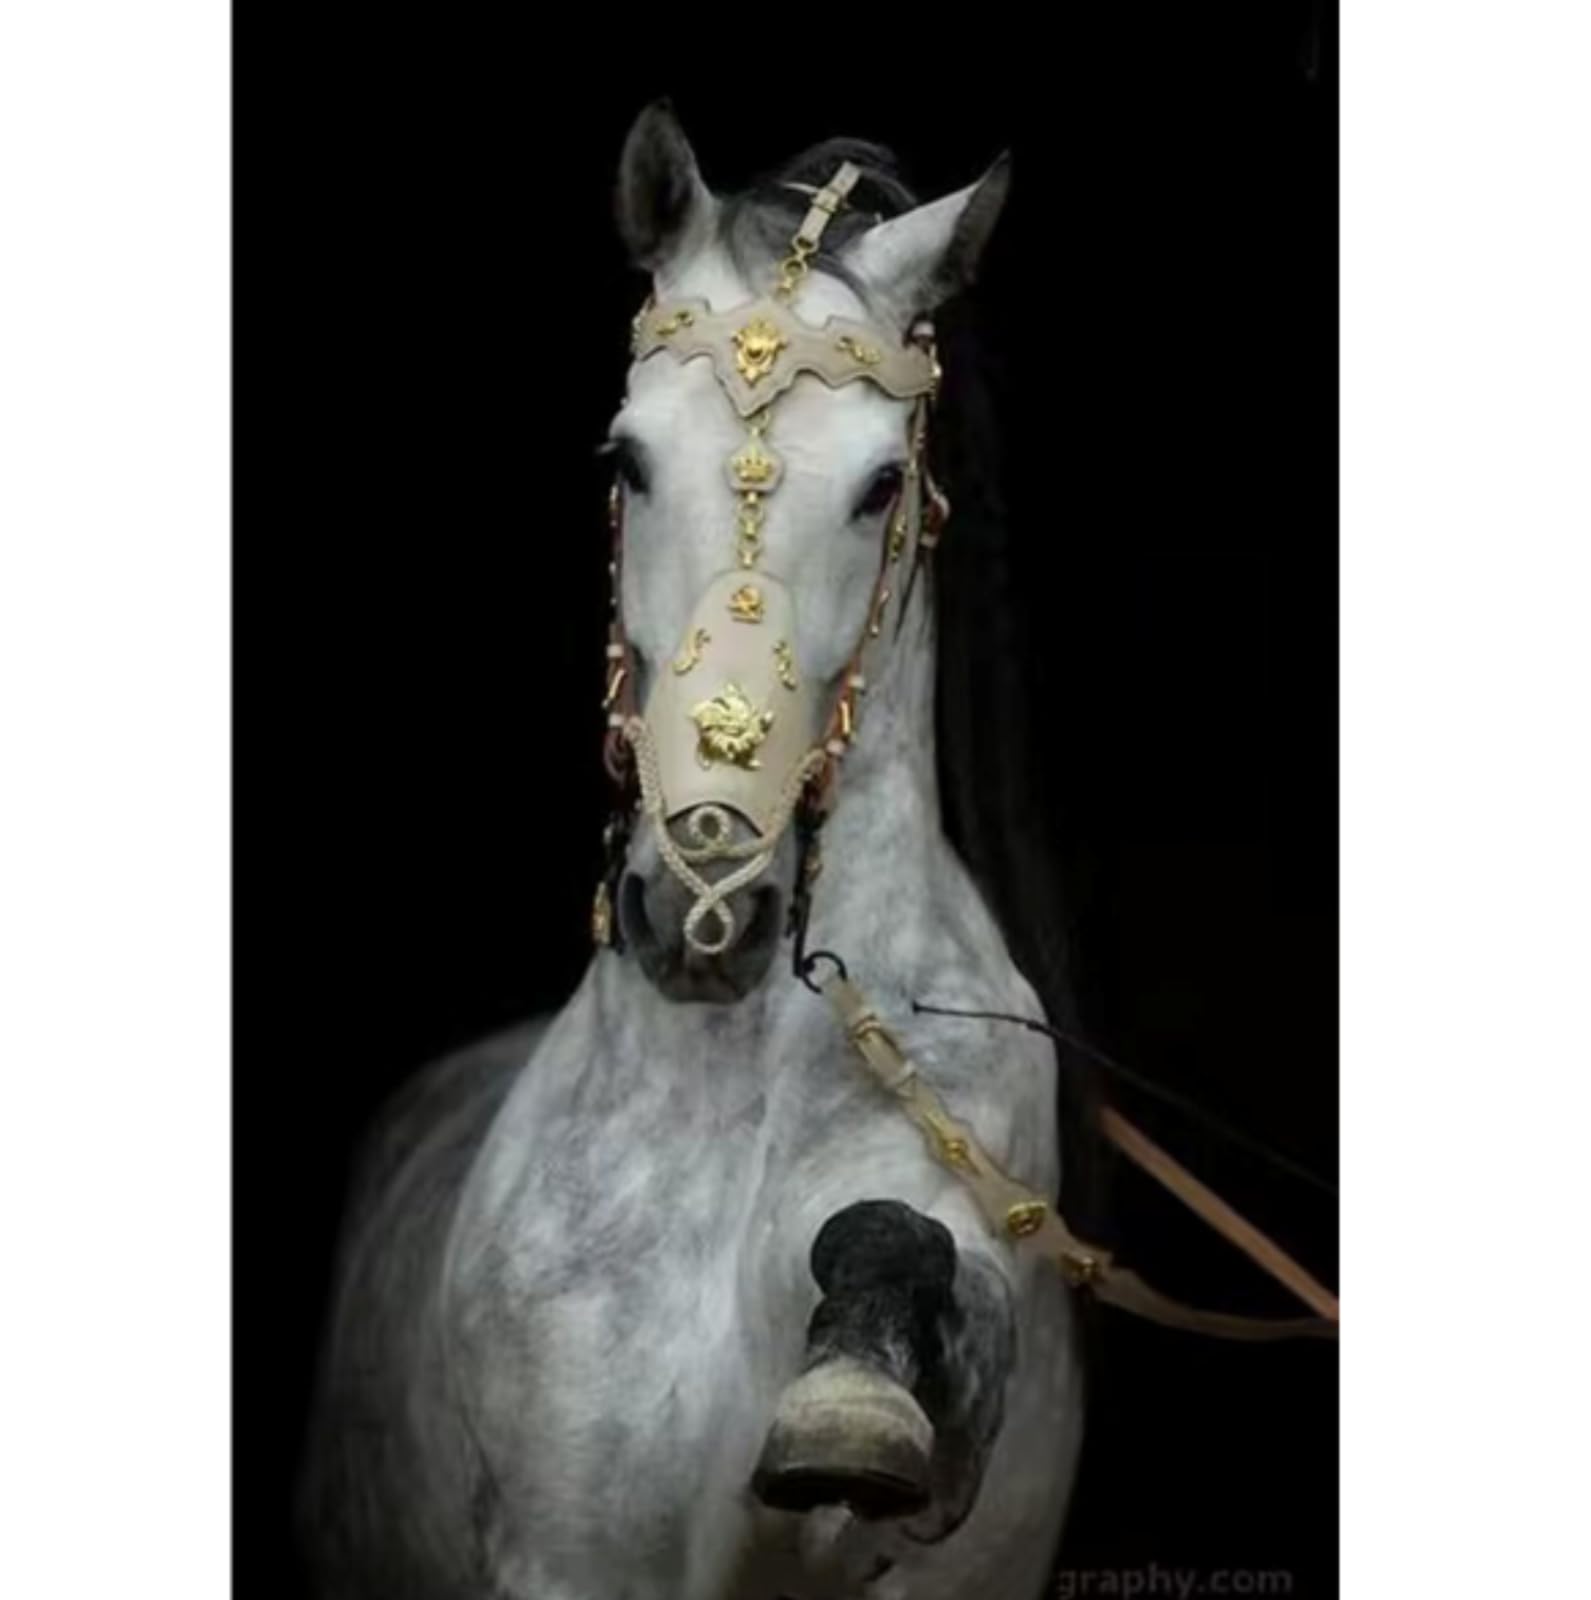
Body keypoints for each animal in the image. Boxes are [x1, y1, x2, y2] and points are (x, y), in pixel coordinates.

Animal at [300, 104, 1092, 1600]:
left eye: (881, 485)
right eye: (625, 459)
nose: (704, 902)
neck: (742, 1087)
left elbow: (896, 1247)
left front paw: (852, 1407)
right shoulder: (571, 1559)